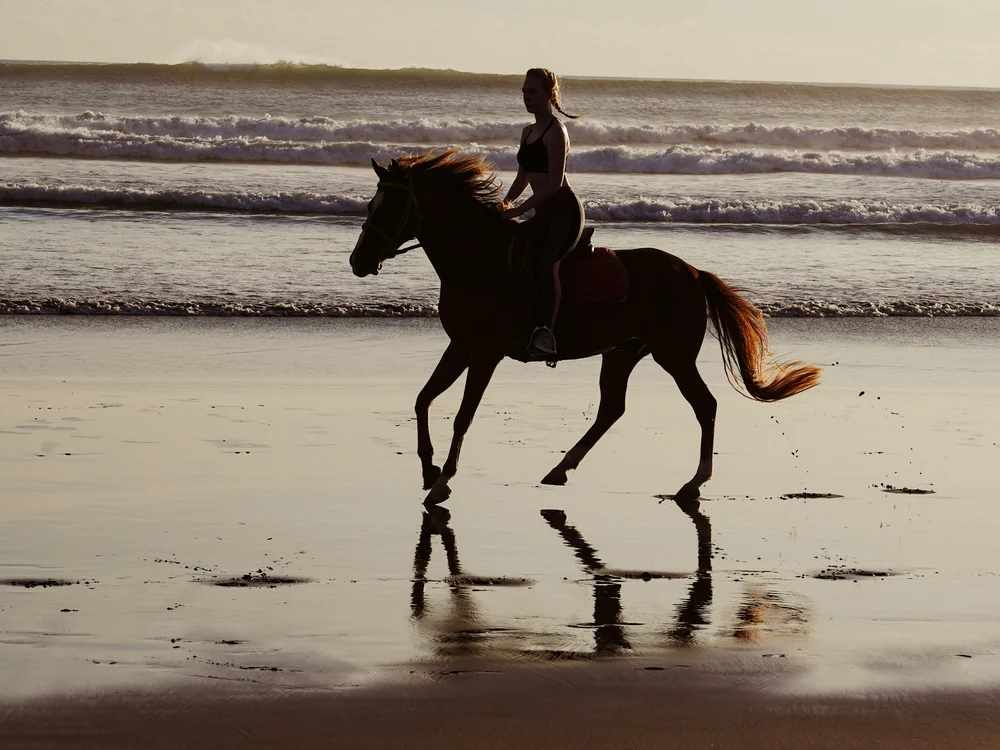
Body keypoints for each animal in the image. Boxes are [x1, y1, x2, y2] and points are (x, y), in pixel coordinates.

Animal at [349, 150, 820, 505]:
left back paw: (693, 483)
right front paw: (429, 470)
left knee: (705, 406)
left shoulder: (485, 354)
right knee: (612, 409)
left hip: (673, 354)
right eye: (371, 205)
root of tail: (691, 272)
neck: (477, 259)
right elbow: (423, 399)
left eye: (390, 207)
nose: (357, 262)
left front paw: (442, 481)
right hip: (623, 352)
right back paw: (560, 468)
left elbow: (462, 416)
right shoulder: (462, 347)